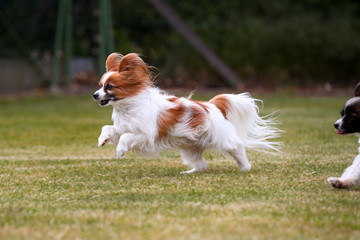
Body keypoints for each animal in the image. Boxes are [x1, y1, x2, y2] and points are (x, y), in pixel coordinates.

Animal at [93, 52, 282, 173]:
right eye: (100, 85)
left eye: (109, 87)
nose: (94, 95)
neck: (127, 107)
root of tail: (211, 106)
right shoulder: (123, 126)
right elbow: (109, 128)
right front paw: (102, 140)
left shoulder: (146, 134)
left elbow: (125, 138)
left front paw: (120, 151)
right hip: (189, 149)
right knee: (202, 165)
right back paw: (190, 172)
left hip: (221, 139)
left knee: (237, 147)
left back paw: (245, 167)